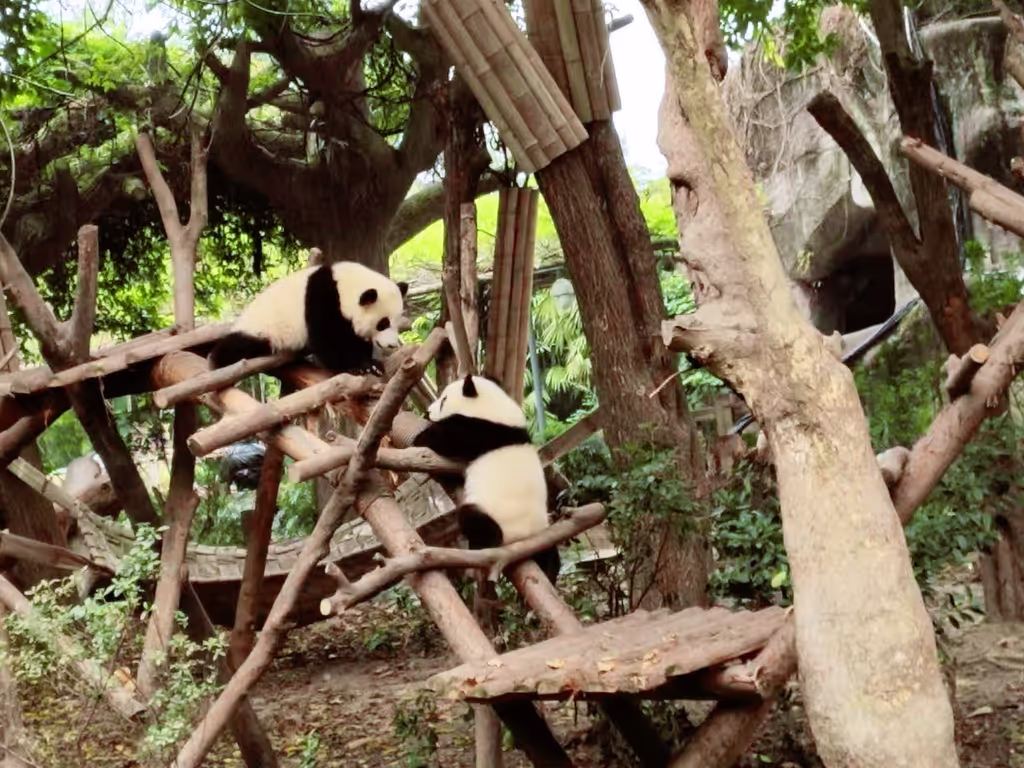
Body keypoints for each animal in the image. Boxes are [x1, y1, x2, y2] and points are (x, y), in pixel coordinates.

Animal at [209, 261, 409, 376]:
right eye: (382, 324)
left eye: (397, 322)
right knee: (235, 348)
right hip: (259, 329)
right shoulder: (322, 299)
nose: (392, 345)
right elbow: (329, 339)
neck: (344, 285)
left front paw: (372, 364)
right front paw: (361, 366)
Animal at [412, 374, 560, 583]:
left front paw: (420, 438)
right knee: (549, 554)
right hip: (541, 532)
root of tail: (519, 539)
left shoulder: (478, 431)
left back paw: (484, 544)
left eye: (443, 400)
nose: (427, 412)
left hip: (494, 517)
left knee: (474, 519)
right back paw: (550, 570)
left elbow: (447, 439)